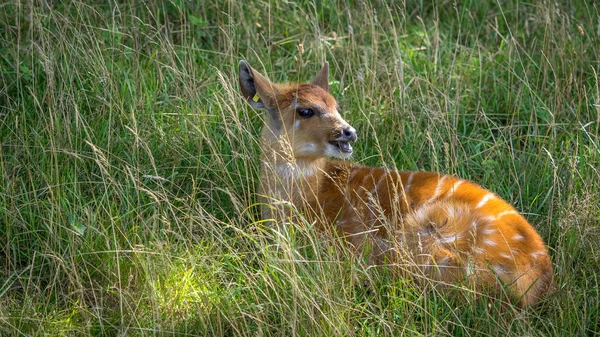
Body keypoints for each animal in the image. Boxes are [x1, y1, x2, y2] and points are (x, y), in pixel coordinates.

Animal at [238, 59, 552, 304]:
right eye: (305, 110)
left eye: (335, 105)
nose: (348, 131)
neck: (307, 200)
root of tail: (538, 281)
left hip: (427, 235)